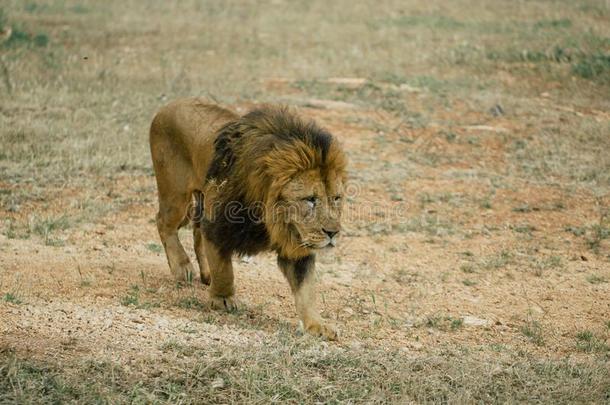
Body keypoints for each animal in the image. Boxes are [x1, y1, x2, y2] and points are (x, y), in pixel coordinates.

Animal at [148, 98, 344, 338]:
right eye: (310, 199)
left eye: (336, 198)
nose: (333, 233)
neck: (272, 218)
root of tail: (168, 105)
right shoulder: (219, 226)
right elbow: (224, 269)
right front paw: (222, 300)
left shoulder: (298, 246)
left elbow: (306, 289)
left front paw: (316, 324)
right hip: (176, 194)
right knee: (163, 223)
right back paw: (182, 267)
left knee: (196, 232)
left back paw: (206, 274)